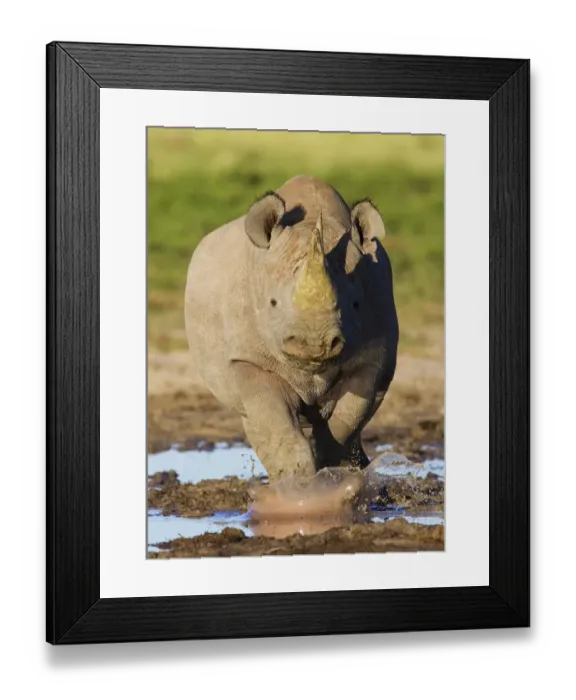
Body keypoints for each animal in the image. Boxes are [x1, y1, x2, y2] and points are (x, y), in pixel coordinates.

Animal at [185, 175, 399, 481]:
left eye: (356, 305)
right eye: (272, 303)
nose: (315, 345)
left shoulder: (375, 354)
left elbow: (351, 413)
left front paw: (329, 466)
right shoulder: (248, 358)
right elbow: (271, 416)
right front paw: (297, 478)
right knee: (251, 413)